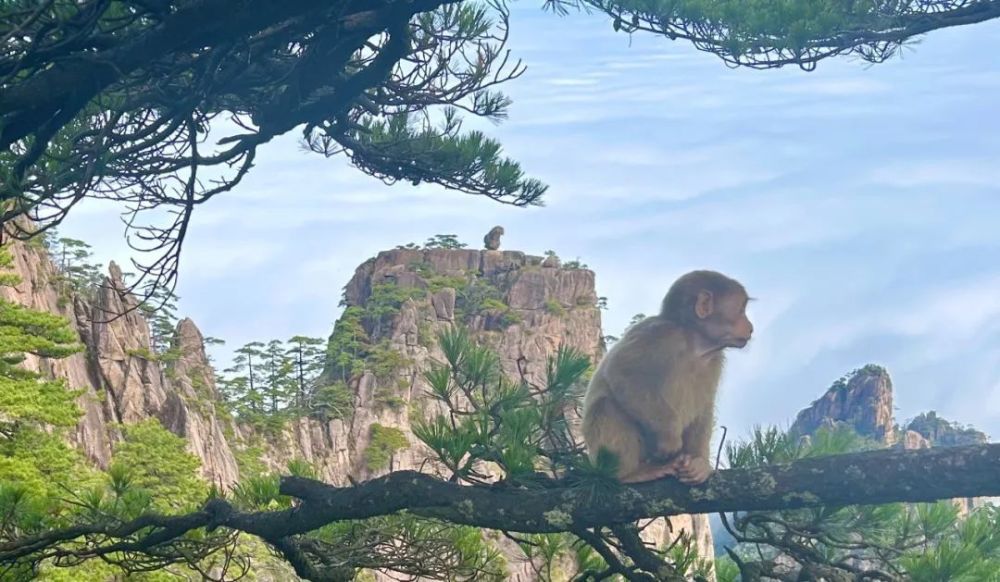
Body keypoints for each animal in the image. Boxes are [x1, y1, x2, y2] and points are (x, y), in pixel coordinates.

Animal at [584, 272, 752, 486]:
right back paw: (629, 474)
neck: (695, 345)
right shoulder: (661, 335)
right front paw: (669, 439)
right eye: (741, 310)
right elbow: (622, 373)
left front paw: (699, 463)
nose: (750, 327)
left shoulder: (714, 360)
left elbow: (705, 404)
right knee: (606, 405)